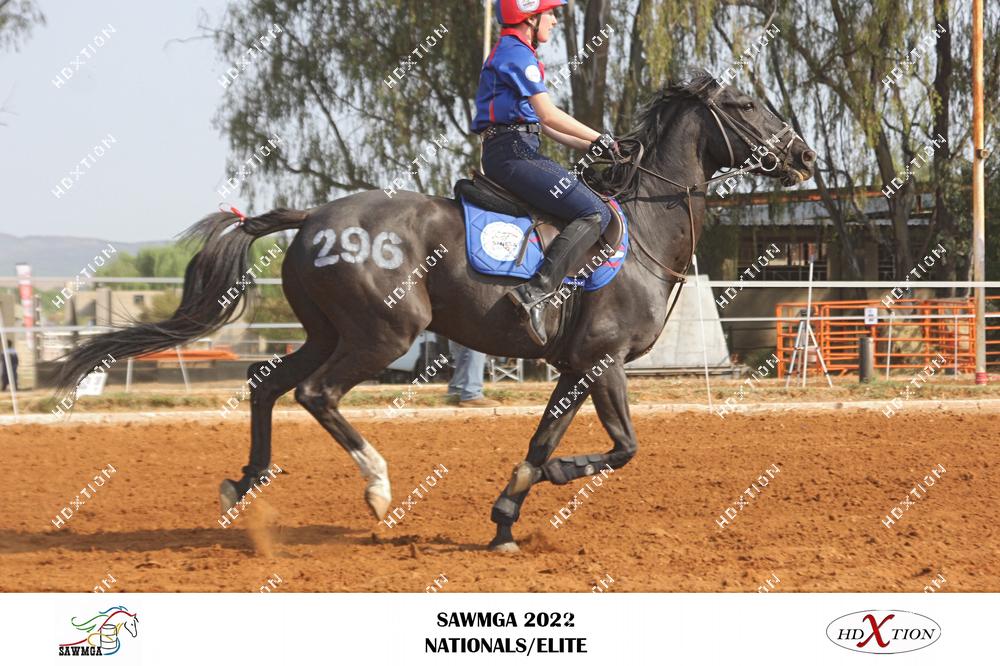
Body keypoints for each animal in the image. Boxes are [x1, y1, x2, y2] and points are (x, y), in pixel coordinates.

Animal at [56, 73, 815, 552]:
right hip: (383, 335)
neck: (643, 231)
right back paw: (377, 486)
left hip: (329, 331)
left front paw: (507, 517)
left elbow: (558, 442)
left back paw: (243, 485)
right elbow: (608, 447)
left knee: (265, 385)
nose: (804, 155)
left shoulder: (583, 365)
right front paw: (531, 496)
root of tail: (315, 216)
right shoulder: (599, 360)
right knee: (315, 393)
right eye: (749, 104)